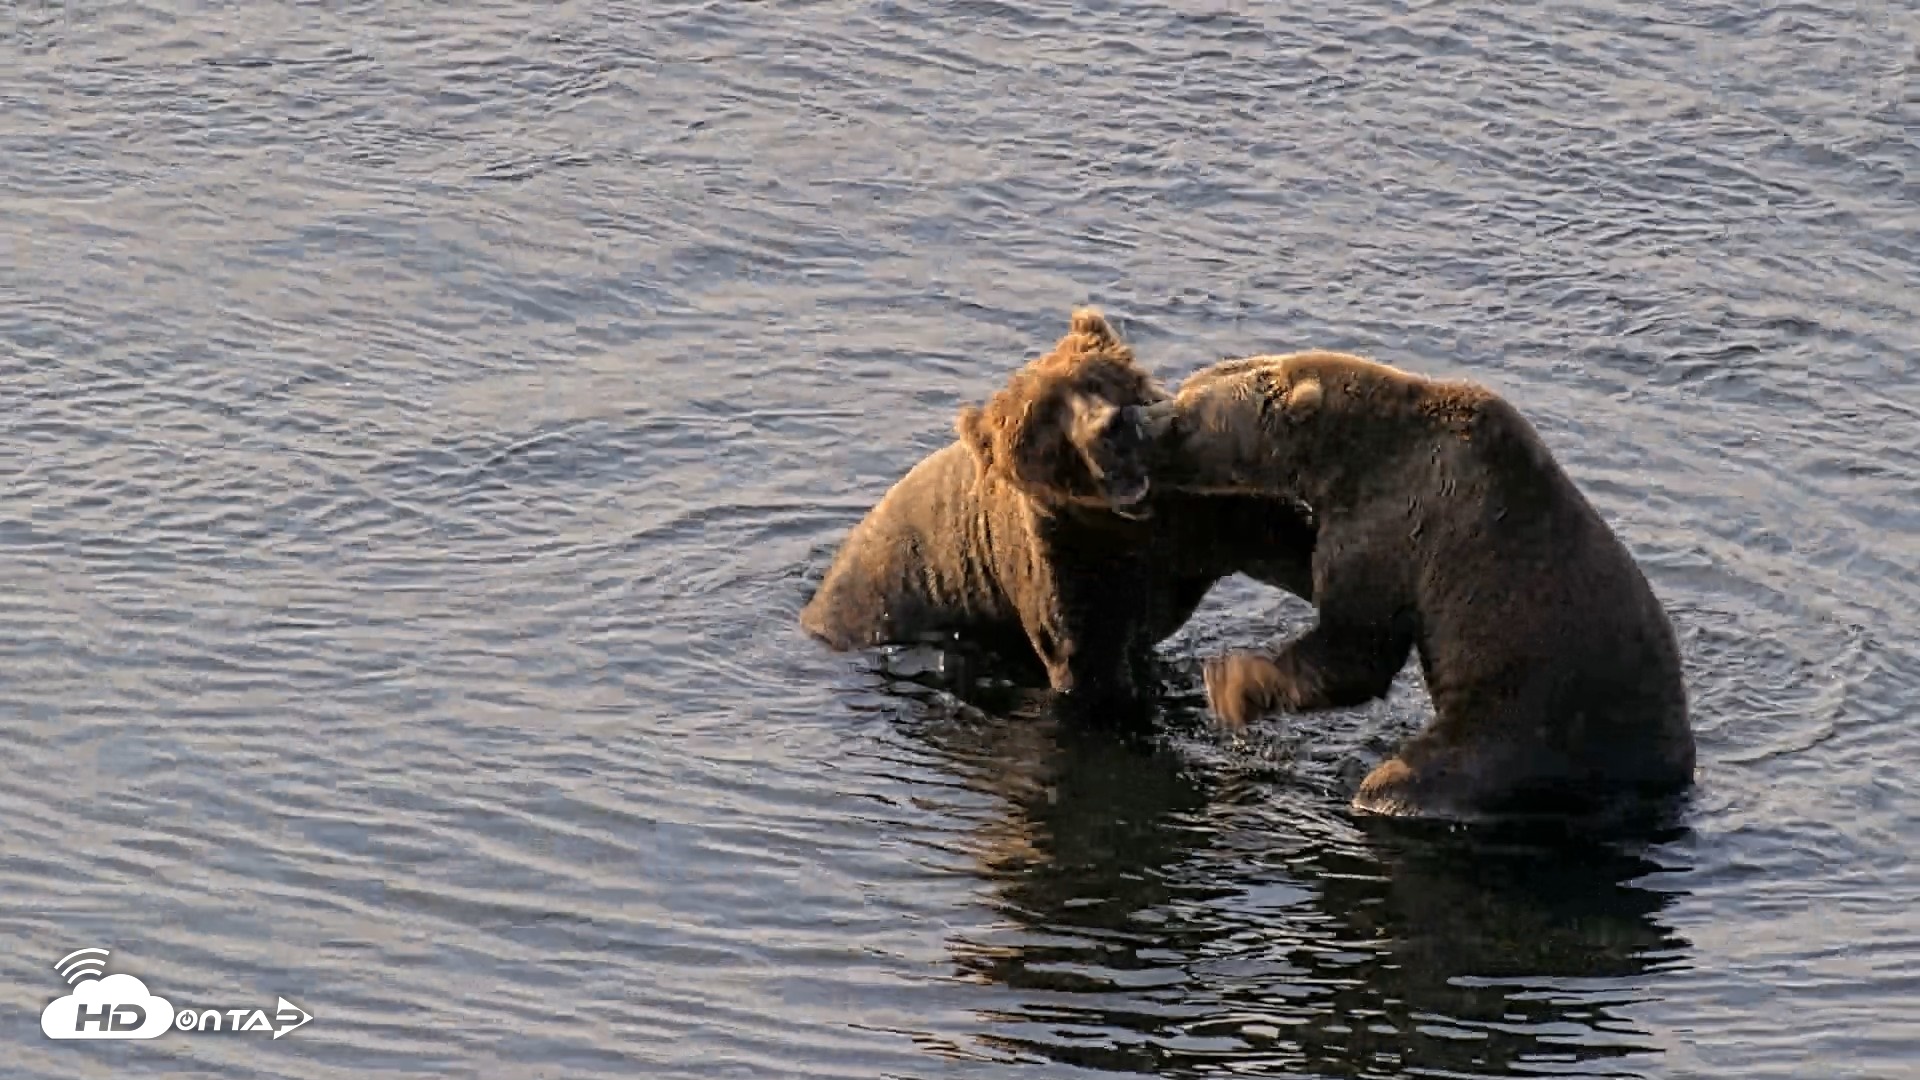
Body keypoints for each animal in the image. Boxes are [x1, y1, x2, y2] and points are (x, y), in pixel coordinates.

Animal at [799, 309, 1321, 711]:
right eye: (1044, 422)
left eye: (1094, 378)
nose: (1109, 428)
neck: (1135, 524)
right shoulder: (1068, 561)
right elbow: (1088, 670)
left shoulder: (1198, 512)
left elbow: (1285, 539)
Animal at [1111, 350, 1694, 820]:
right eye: (1182, 390)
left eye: (1184, 414)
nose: (1137, 419)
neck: (1348, 459)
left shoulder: (1397, 526)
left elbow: (1357, 647)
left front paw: (1230, 682)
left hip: (1519, 726)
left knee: (1415, 776)